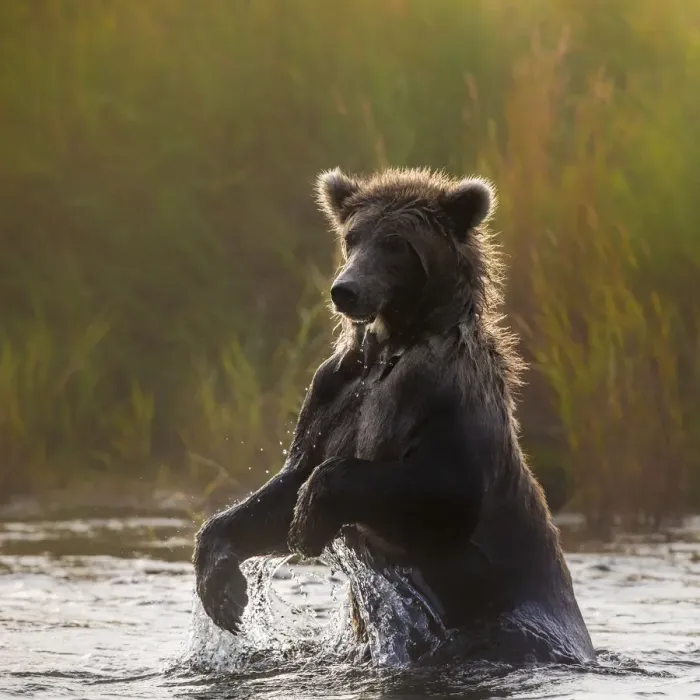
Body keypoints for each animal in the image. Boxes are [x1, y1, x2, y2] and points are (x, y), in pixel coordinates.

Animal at [192, 167, 595, 665]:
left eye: (396, 243)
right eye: (352, 237)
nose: (345, 290)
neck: (391, 348)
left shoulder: (442, 396)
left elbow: (444, 489)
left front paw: (309, 520)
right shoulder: (334, 391)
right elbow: (286, 486)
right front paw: (222, 585)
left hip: (520, 615)